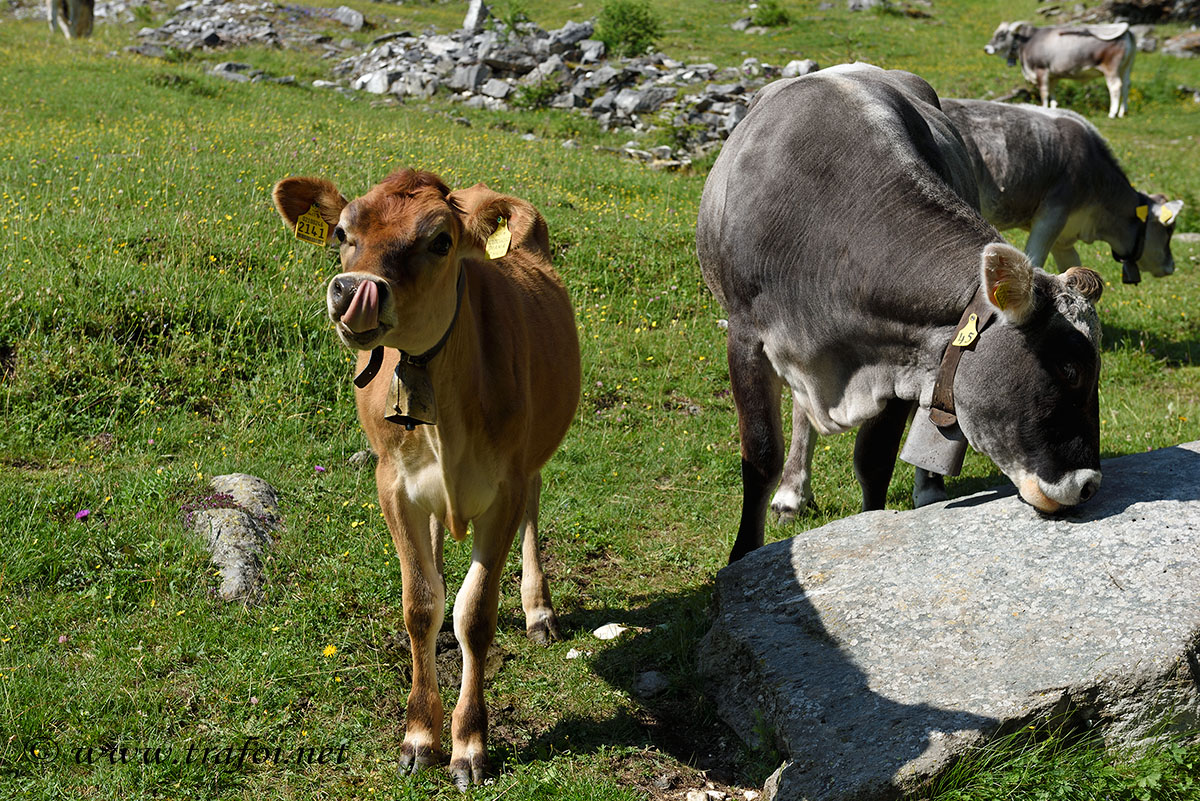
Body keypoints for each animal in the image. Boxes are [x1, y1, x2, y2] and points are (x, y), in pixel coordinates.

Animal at [273, 169, 580, 786]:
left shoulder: (505, 488)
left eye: (440, 241)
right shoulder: (393, 485)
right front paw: (419, 735)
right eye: (342, 232)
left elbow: (476, 613)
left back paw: (539, 610)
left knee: (535, 509)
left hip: (533, 460)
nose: (355, 290)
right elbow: (420, 604)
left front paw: (468, 743)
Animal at [696, 64, 1104, 563]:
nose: (1088, 485)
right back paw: (793, 492)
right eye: (1069, 370)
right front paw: (743, 554)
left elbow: (874, 460)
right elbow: (760, 453)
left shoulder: (897, 357)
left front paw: (872, 527)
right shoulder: (746, 337)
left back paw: (928, 489)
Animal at [940, 98, 1185, 284]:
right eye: (1169, 229)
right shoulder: (1052, 215)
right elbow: (1033, 261)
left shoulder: (1064, 236)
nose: (1171, 265)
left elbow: (1074, 268)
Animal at [984, 21, 1132, 118]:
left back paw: (1112, 113)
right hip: (1126, 68)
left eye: (1002, 35)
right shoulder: (1053, 74)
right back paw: (1122, 112)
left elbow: (1044, 92)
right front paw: (1054, 107)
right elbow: (1052, 90)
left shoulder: (1041, 70)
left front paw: (1043, 108)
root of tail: (1126, 31)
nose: (986, 48)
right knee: (1126, 86)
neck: (1027, 42)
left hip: (1111, 68)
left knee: (1115, 87)